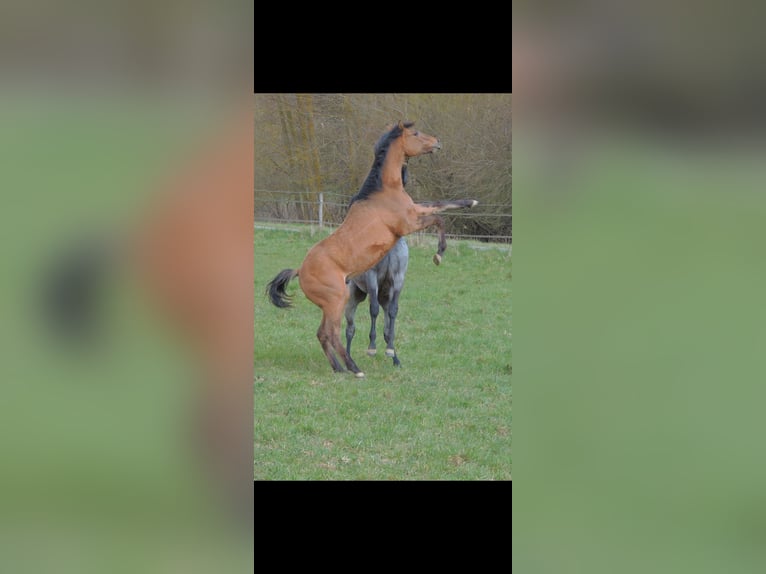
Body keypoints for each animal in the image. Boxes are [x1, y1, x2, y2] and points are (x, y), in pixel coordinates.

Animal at [266, 120, 477, 377]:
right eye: (415, 133)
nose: (437, 142)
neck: (383, 190)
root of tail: (300, 270)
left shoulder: (415, 210)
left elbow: (440, 205)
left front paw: (471, 202)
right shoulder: (408, 223)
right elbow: (438, 218)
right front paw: (439, 253)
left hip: (332, 305)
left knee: (323, 335)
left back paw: (340, 368)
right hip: (337, 302)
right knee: (333, 334)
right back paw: (355, 369)